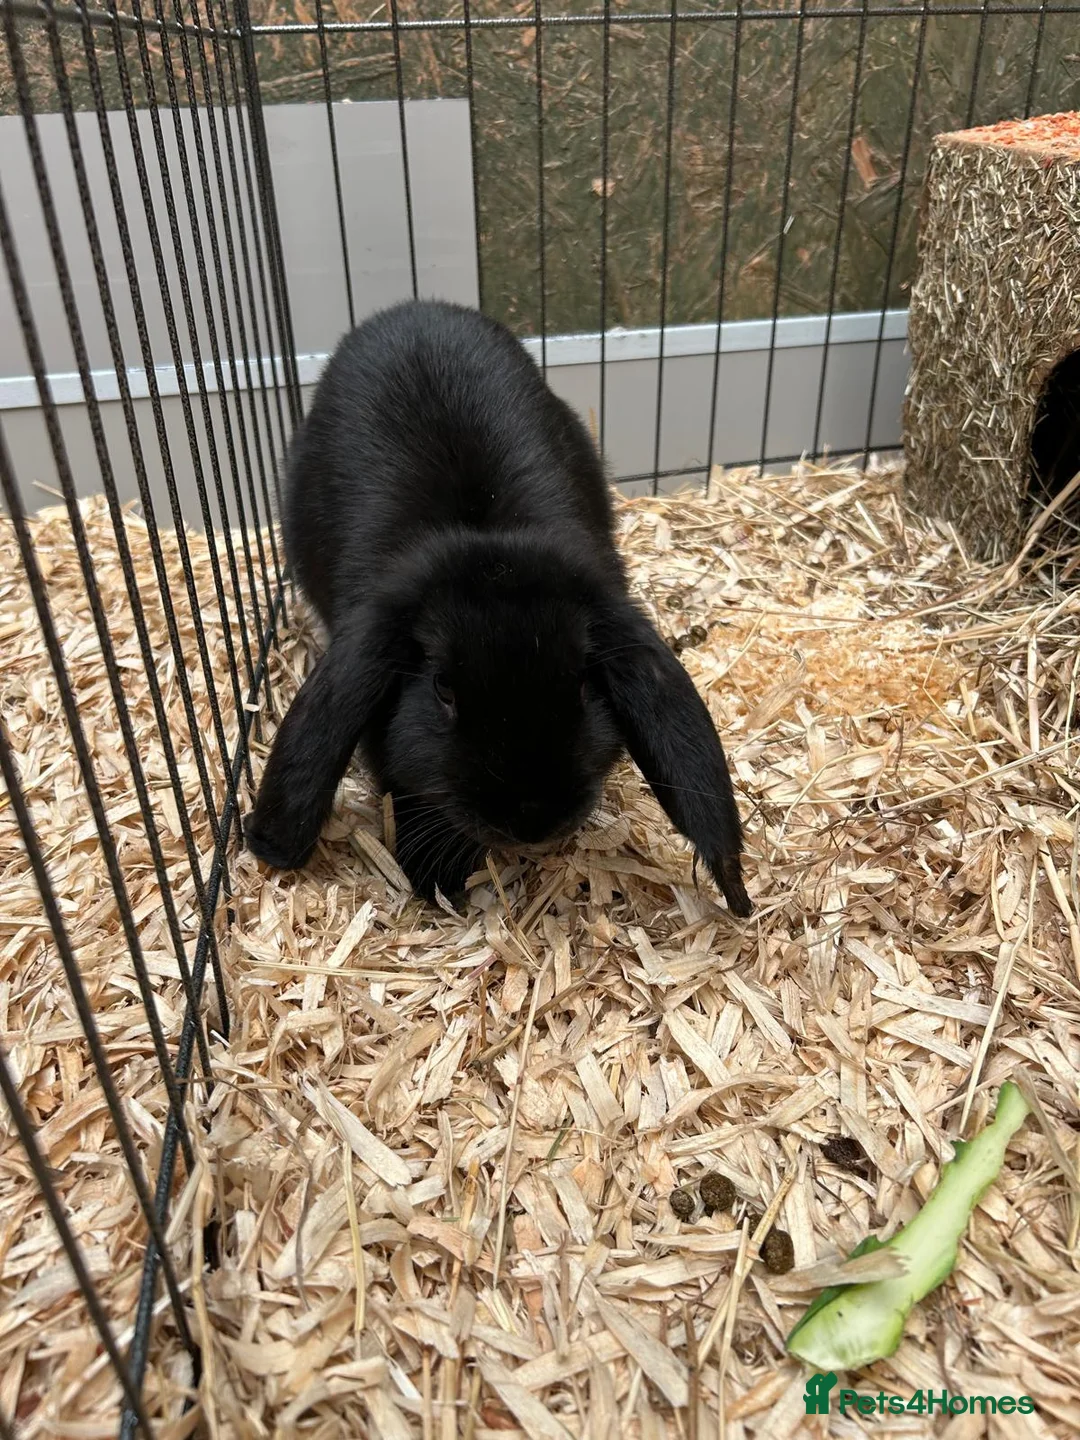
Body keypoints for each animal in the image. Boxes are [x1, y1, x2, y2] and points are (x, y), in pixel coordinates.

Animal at [245, 299, 752, 917]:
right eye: (442, 688)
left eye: (581, 684)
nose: (532, 821)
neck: (487, 542)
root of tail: (416, 307)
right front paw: (436, 880)